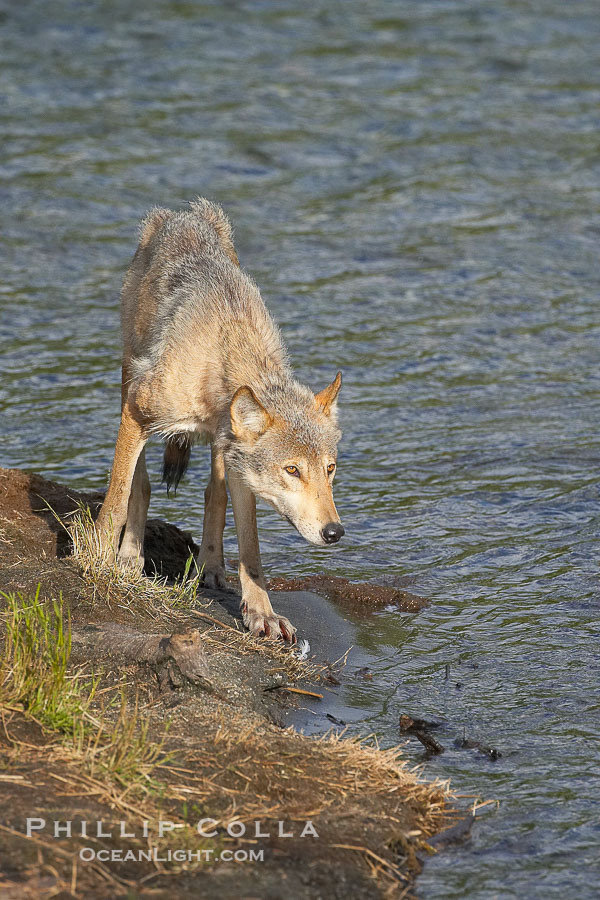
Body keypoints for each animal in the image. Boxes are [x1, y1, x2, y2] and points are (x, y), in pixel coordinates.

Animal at [95, 198, 344, 642]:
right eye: (293, 470)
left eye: (329, 469)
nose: (335, 532)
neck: (223, 357)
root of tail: (182, 213)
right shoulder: (139, 412)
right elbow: (118, 497)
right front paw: (100, 562)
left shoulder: (237, 459)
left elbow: (251, 547)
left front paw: (261, 613)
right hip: (129, 382)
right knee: (140, 483)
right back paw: (129, 557)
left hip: (219, 451)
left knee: (215, 493)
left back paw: (210, 568)